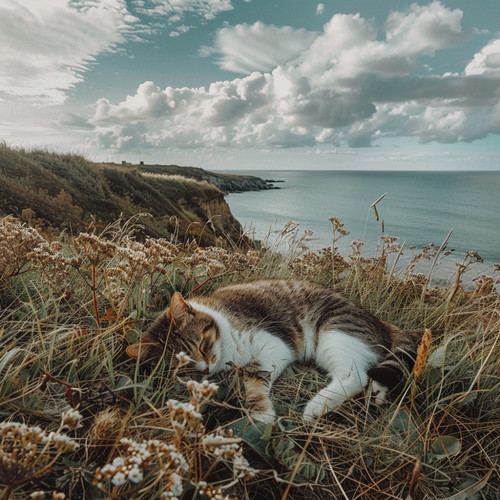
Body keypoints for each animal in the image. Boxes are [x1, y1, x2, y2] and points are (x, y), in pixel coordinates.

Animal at [127, 280, 416, 424]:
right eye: (183, 366)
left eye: (201, 345)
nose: (206, 368)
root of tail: (382, 323)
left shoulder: (275, 345)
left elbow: (253, 378)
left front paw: (260, 412)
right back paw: (376, 394)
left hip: (334, 333)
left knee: (354, 376)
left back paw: (315, 408)